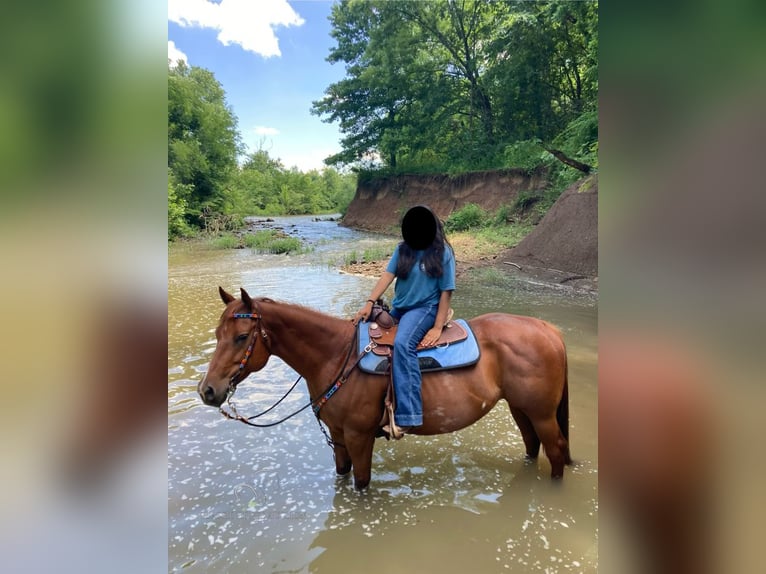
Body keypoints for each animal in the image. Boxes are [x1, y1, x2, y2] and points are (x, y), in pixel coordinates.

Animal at [198, 288, 568, 490]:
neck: (336, 355)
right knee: (531, 445)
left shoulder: (359, 435)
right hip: (520, 408)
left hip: (543, 414)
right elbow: (342, 474)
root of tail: (547, 329)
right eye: (217, 334)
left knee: (556, 451)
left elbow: (361, 483)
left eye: (241, 337)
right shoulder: (338, 434)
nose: (207, 390)